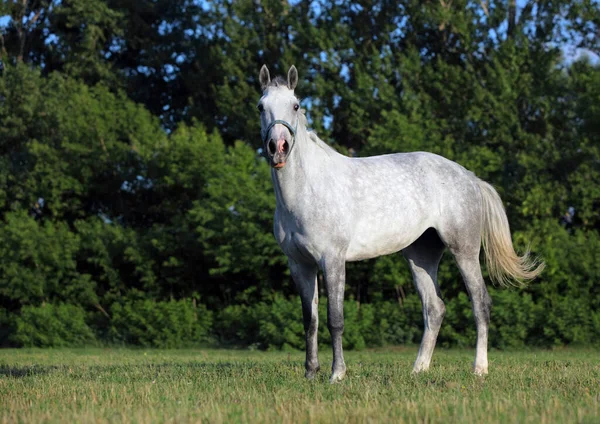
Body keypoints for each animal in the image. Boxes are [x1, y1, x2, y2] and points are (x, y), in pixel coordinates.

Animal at [258, 64, 544, 382]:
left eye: (295, 105)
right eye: (261, 107)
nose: (278, 147)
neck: (308, 190)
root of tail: (470, 177)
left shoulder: (332, 260)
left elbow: (335, 319)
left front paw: (337, 375)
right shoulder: (300, 264)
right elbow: (310, 321)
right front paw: (310, 374)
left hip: (465, 251)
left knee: (480, 303)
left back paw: (479, 368)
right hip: (420, 255)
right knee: (434, 308)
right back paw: (419, 369)